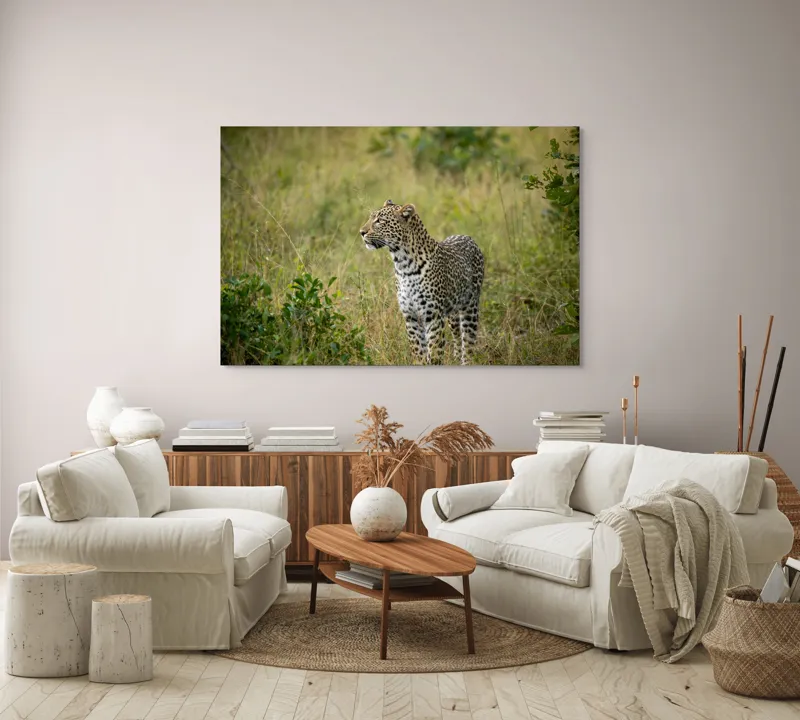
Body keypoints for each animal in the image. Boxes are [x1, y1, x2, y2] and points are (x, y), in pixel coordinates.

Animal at [359, 200, 484, 365]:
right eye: (371, 218)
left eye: (380, 221)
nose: (361, 232)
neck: (403, 265)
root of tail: (468, 237)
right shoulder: (410, 317)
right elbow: (418, 352)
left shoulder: (433, 317)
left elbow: (435, 352)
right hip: (452, 312)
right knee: (457, 336)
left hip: (470, 306)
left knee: (468, 342)